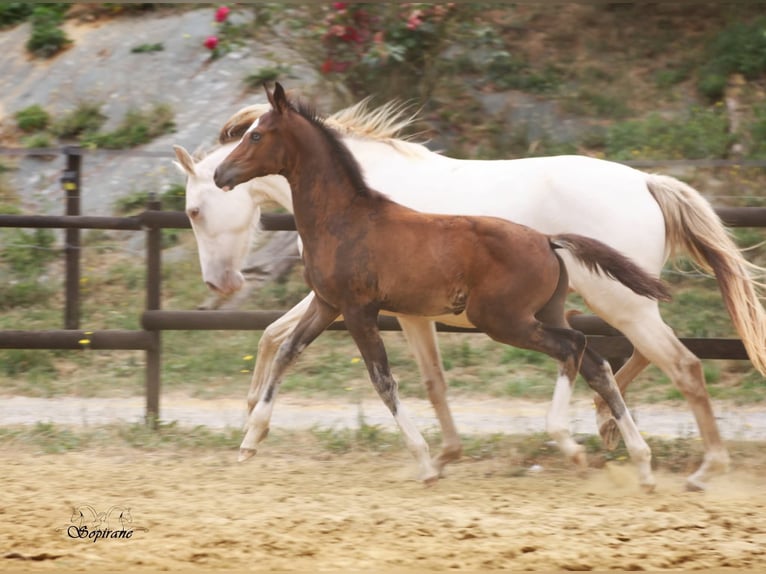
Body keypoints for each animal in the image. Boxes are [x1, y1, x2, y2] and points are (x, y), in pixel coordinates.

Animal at [174, 93, 766, 491]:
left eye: (194, 210)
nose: (219, 284)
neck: (357, 203)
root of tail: (647, 180)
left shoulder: (370, 308)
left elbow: (388, 378)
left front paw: (429, 457)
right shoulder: (344, 304)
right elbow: (287, 343)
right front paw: (251, 429)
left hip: (590, 306)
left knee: (672, 363)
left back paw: (697, 466)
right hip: (598, 304)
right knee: (617, 358)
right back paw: (615, 437)